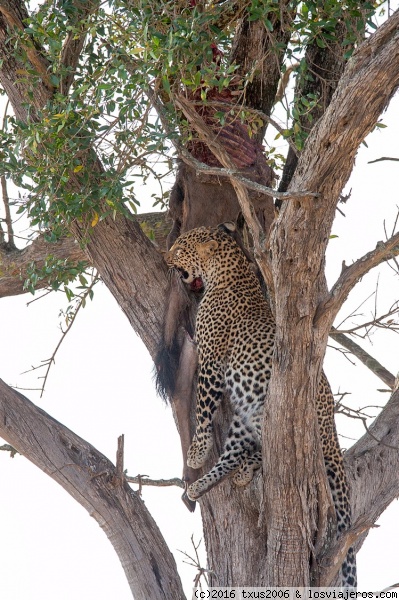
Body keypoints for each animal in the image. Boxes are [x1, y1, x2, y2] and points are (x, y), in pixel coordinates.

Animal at [164, 221, 358, 592]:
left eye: (180, 248)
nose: (165, 257)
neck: (230, 270)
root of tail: (331, 429)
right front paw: (198, 458)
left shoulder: (211, 361)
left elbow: (202, 409)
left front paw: (196, 450)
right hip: (246, 416)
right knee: (235, 453)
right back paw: (204, 484)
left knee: (264, 450)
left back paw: (225, 471)